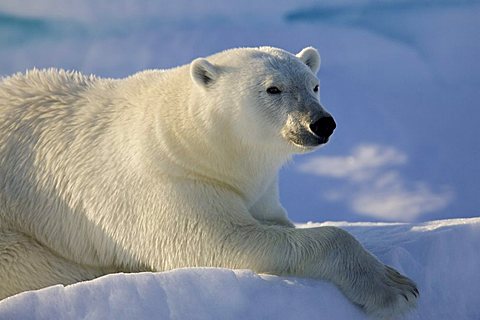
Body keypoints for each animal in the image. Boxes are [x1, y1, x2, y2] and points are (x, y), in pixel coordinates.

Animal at [0, 46, 416, 318]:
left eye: (314, 85)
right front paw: (396, 288)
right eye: (273, 88)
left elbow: (272, 220)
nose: (321, 123)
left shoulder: (257, 187)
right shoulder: (173, 181)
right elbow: (221, 241)